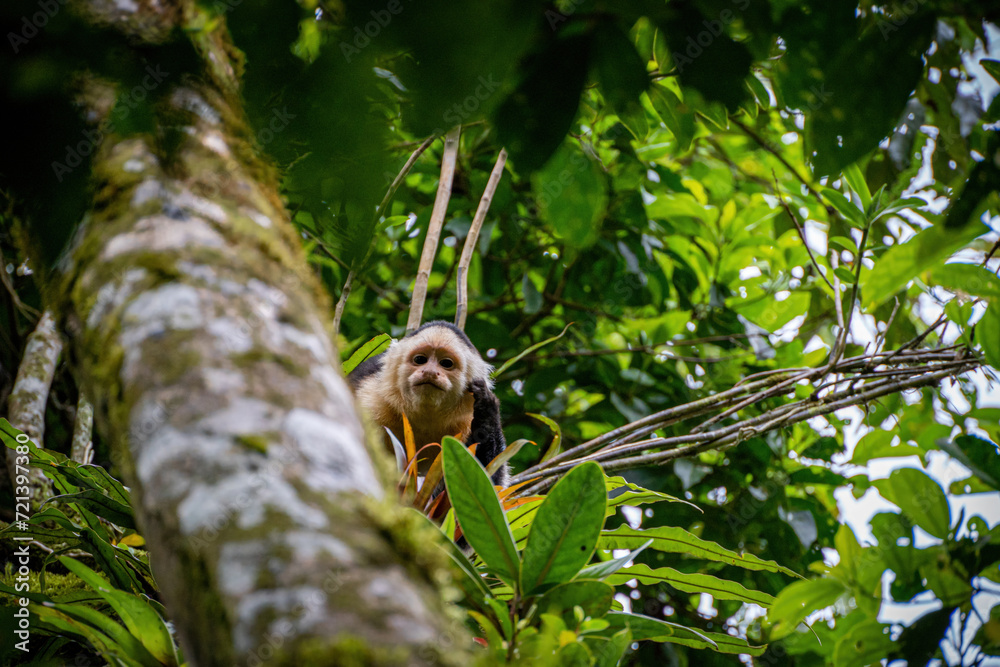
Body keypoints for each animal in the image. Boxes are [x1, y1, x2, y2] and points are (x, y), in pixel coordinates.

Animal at [350, 322, 508, 486]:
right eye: (420, 360)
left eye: (446, 363)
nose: (430, 372)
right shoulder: (370, 398)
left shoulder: (465, 420)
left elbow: (492, 483)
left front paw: (486, 410)